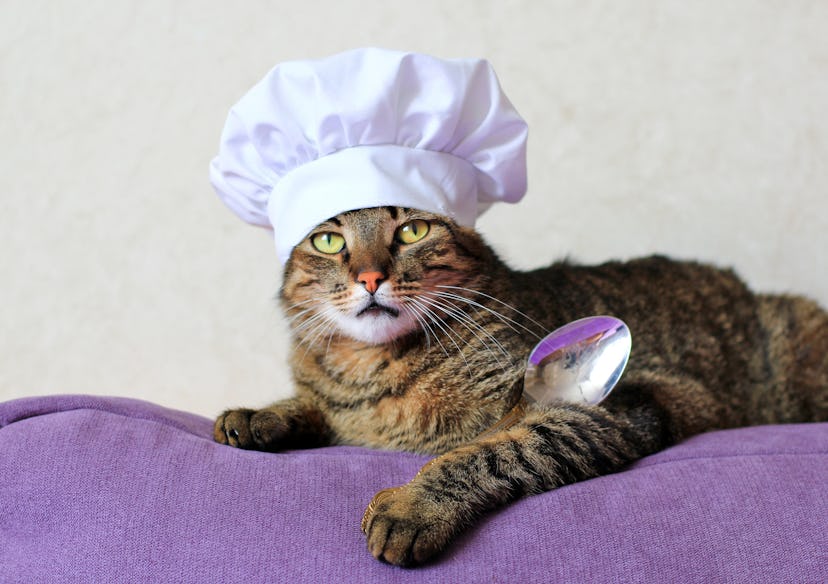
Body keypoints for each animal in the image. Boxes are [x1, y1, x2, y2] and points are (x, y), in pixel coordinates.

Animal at [215, 205, 828, 564]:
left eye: (412, 230)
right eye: (327, 241)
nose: (370, 276)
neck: (374, 368)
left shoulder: (610, 400)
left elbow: (496, 449)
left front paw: (415, 504)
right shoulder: (338, 404)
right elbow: (312, 406)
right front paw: (261, 414)